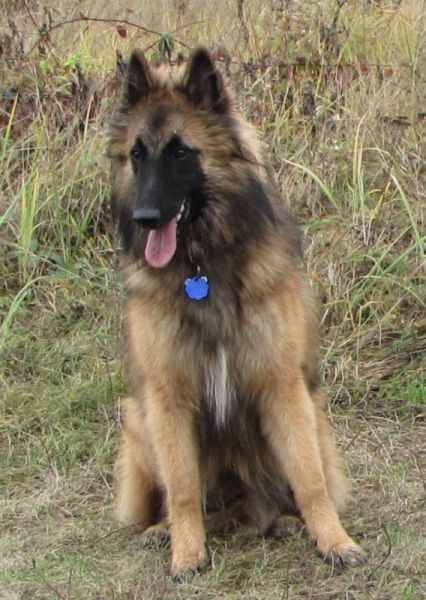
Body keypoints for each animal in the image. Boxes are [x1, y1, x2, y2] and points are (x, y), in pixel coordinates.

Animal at [107, 47, 367, 578]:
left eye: (181, 152)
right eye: (137, 155)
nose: (145, 218)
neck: (202, 267)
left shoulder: (282, 386)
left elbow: (309, 480)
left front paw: (335, 541)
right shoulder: (168, 398)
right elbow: (182, 488)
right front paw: (187, 552)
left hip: (314, 413)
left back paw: (284, 519)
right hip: (137, 417)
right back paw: (161, 530)